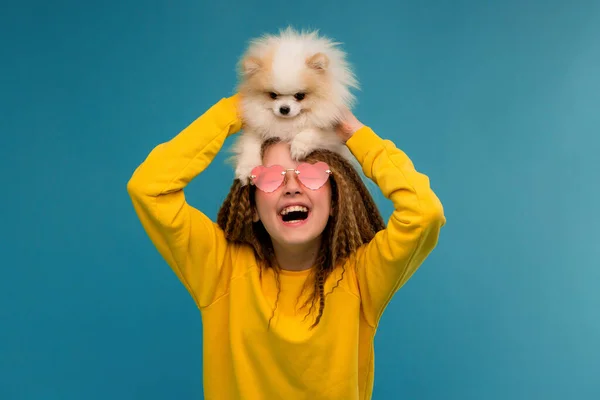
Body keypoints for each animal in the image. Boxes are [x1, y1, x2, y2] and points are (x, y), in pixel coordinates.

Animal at [232, 27, 358, 184]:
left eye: (300, 96)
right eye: (273, 95)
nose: (284, 109)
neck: (288, 124)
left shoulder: (332, 133)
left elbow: (313, 131)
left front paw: (298, 147)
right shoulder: (255, 128)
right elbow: (250, 145)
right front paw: (247, 168)